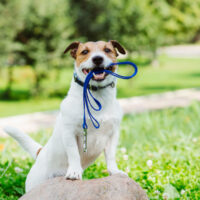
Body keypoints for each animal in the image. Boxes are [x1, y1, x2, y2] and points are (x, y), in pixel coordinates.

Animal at [4, 40, 127, 192]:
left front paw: (114, 171)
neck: (97, 97)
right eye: (84, 52)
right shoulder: (70, 132)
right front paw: (74, 171)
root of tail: (41, 153)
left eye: (107, 50)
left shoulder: (112, 134)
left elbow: (110, 155)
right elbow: (73, 153)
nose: (97, 58)